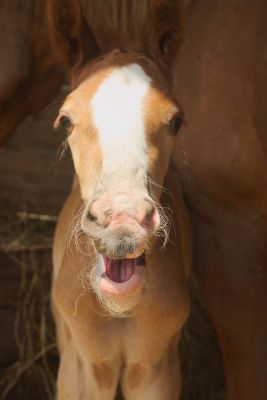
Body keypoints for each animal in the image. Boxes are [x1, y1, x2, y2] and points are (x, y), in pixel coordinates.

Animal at [47, 1, 191, 398]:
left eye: (176, 120)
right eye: (65, 120)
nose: (122, 221)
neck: (119, 309)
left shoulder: (156, 371)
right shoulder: (84, 368)